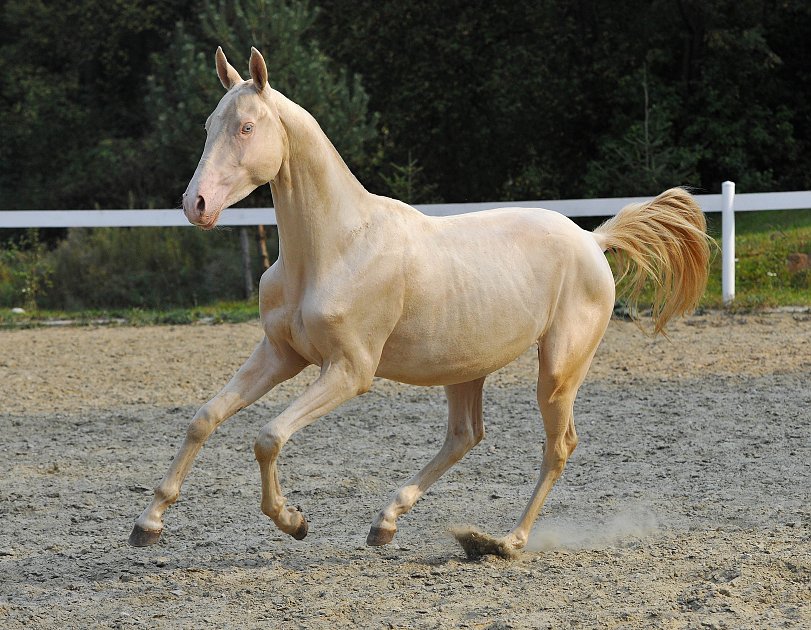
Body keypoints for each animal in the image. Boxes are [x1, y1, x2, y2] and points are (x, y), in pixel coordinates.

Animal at [128, 45, 712, 556]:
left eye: (246, 127)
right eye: (209, 125)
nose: (196, 204)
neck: (334, 248)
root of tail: (592, 239)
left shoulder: (349, 371)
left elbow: (268, 436)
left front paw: (292, 521)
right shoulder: (280, 354)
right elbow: (204, 418)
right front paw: (147, 524)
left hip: (558, 369)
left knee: (558, 445)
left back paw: (505, 542)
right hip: (465, 368)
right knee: (465, 436)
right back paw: (387, 523)